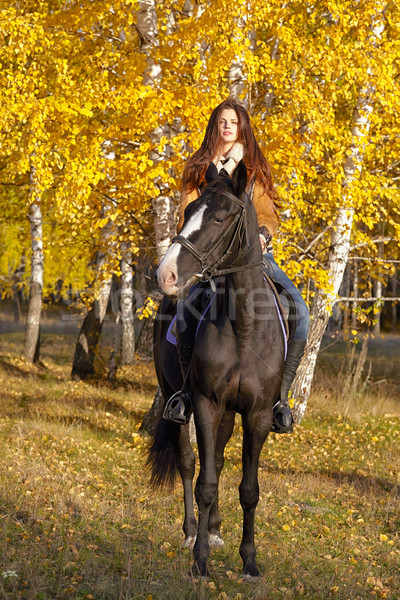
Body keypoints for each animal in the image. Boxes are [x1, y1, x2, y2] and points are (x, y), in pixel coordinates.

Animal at [149, 162, 284, 580]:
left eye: (221, 218)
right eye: (189, 212)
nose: (166, 274)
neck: (244, 328)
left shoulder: (257, 415)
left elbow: (249, 489)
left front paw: (250, 562)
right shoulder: (207, 405)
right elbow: (204, 482)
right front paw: (201, 562)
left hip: (229, 414)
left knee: (220, 460)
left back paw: (214, 528)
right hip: (178, 400)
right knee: (188, 462)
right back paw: (194, 531)